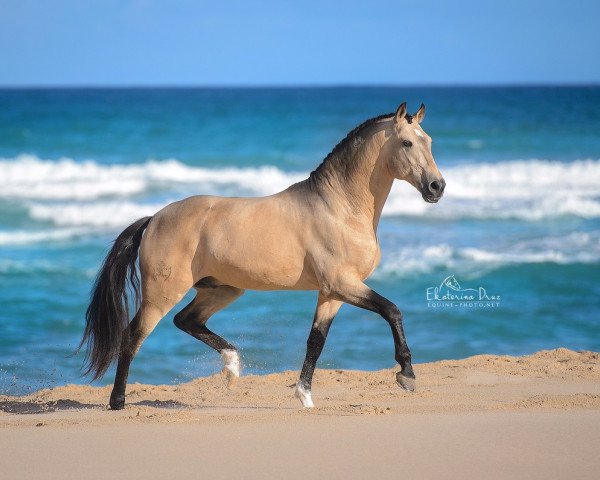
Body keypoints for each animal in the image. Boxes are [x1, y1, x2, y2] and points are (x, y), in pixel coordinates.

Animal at [78, 101, 446, 408]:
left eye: (429, 141)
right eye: (407, 143)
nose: (436, 187)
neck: (340, 208)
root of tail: (154, 218)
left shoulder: (332, 293)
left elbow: (316, 341)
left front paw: (305, 398)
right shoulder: (343, 284)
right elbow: (392, 311)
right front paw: (406, 375)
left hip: (223, 289)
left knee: (187, 320)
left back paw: (232, 368)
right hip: (162, 292)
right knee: (133, 337)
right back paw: (118, 402)